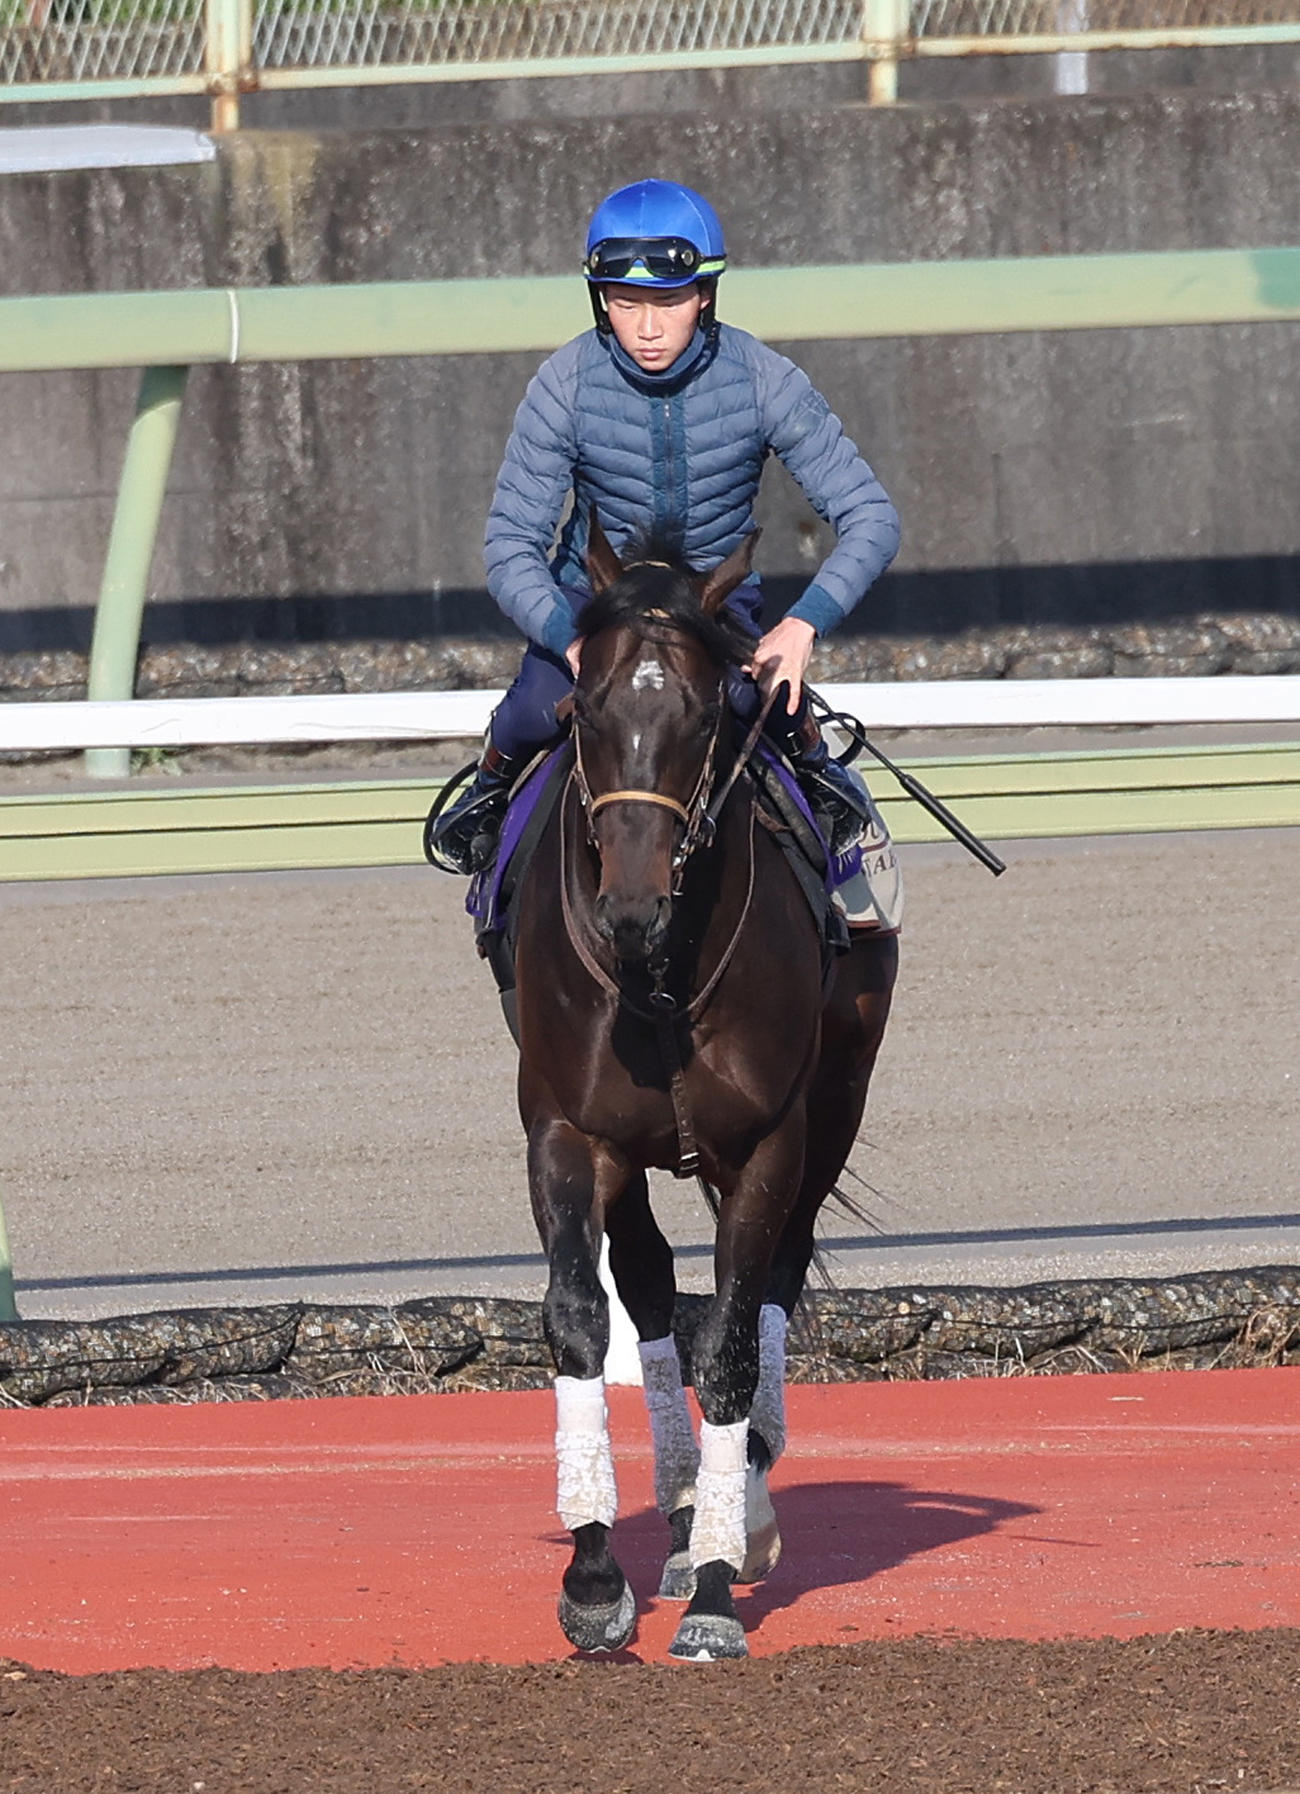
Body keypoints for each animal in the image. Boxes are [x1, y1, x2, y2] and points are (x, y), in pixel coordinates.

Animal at [510, 518, 898, 1660]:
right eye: (585, 713)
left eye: (701, 714)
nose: (630, 906)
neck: (661, 973)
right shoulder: (566, 1129)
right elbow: (580, 1316)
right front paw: (596, 1574)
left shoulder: (770, 1140)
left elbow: (727, 1338)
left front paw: (723, 1584)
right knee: (642, 1284)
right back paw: (683, 1511)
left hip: (836, 1103)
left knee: (772, 1283)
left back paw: (741, 1511)